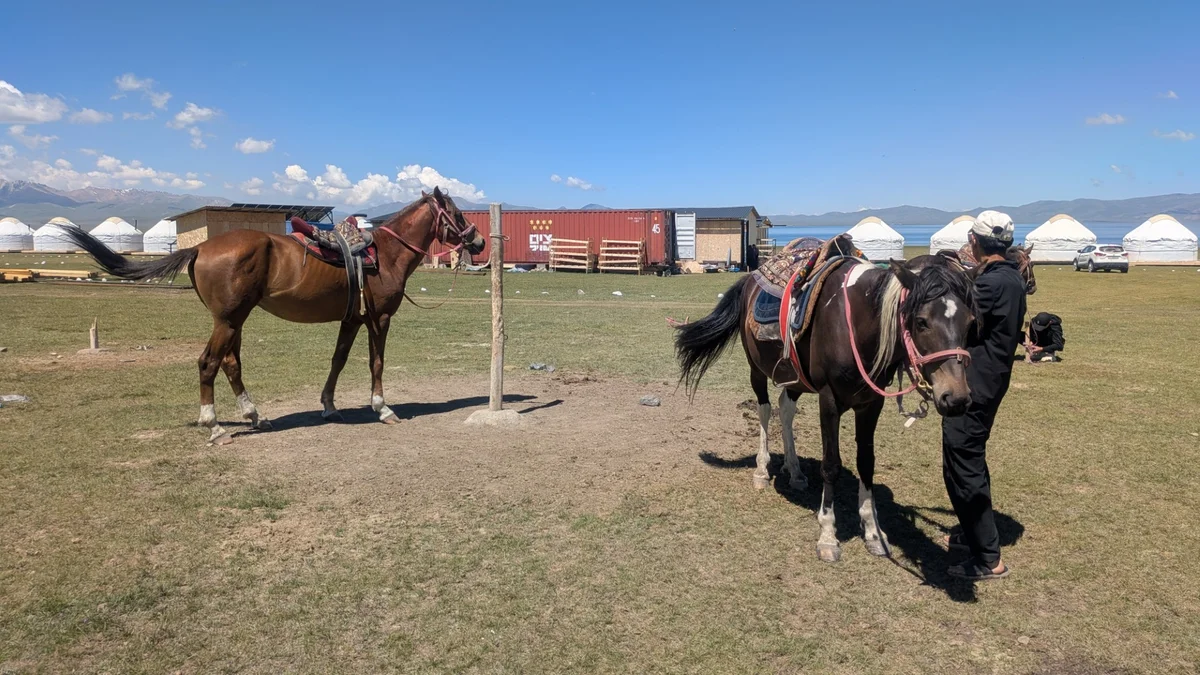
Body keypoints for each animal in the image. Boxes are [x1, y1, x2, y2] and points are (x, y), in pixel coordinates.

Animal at [64, 187, 486, 444]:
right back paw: (214, 426)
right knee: (209, 363)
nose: (479, 240)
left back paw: (255, 416)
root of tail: (199, 247)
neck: (384, 254)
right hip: (229, 320)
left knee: (230, 364)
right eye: (456, 212)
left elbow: (338, 360)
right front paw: (382, 408)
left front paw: (329, 406)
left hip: (234, 320)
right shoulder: (378, 319)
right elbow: (376, 363)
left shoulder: (351, 319)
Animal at [675, 258, 977, 562]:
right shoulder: (829, 400)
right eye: (921, 321)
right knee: (765, 409)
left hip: (795, 378)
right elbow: (831, 465)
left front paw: (873, 533)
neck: (856, 322)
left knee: (785, 409)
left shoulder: (871, 404)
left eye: (970, 322)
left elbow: (866, 463)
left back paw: (795, 471)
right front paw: (828, 536)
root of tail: (750, 279)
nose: (956, 397)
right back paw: (762, 470)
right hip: (756, 370)